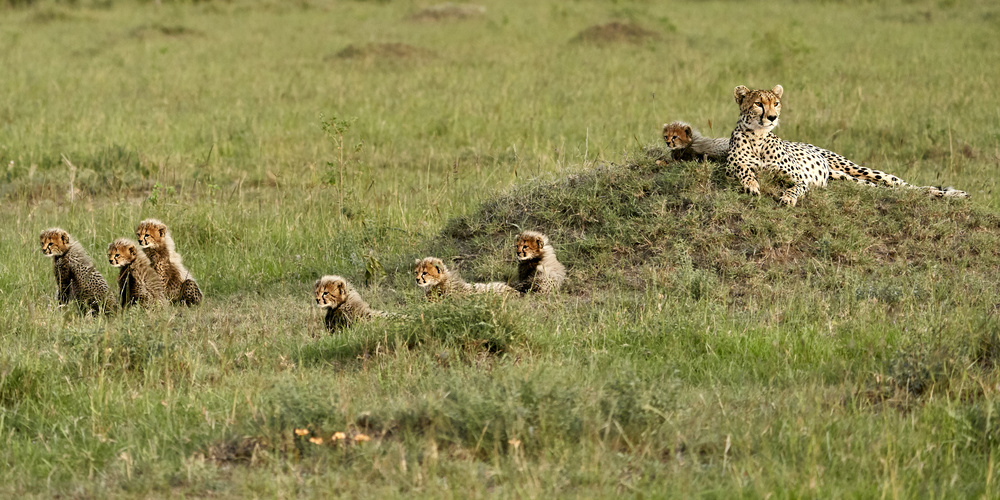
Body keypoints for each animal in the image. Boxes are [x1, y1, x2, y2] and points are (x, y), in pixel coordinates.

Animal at [727, 84, 969, 206]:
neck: (758, 138)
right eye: (759, 104)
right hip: (848, 179)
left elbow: (796, 187)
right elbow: (743, 169)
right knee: (891, 189)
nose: (773, 117)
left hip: (858, 169)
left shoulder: (799, 178)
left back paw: (956, 194)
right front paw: (751, 185)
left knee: (904, 185)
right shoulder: (730, 168)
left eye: (776, 103)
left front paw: (787, 197)